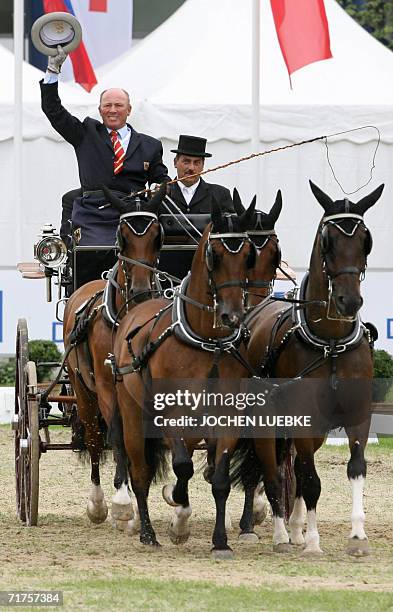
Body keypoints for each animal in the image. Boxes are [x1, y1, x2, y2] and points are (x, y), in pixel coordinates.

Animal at [62, 184, 165, 528]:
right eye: (122, 237)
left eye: (158, 236)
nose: (141, 292)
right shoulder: (108, 387)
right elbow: (118, 435)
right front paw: (122, 500)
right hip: (82, 390)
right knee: (95, 437)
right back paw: (98, 502)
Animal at [110, 201, 258, 556]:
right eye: (214, 255)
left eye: (249, 255)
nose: (232, 316)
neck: (207, 343)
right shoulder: (169, 412)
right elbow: (180, 466)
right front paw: (177, 508)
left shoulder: (227, 417)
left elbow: (219, 480)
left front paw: (220, 542)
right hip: (132, 413)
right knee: (139, 472)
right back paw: (148, 531)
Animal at [245, 180, 382, 556]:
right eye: (327, 240)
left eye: (365, 239)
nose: (349, 301)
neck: (330, 342)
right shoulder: (303, 419)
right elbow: (311, 480)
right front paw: (314, 542)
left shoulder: (357, 415)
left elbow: (355, 468)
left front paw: (358, 536)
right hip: (266, 422)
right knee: (274, 472)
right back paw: (280, 534)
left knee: (291, 469)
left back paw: (294, 529)